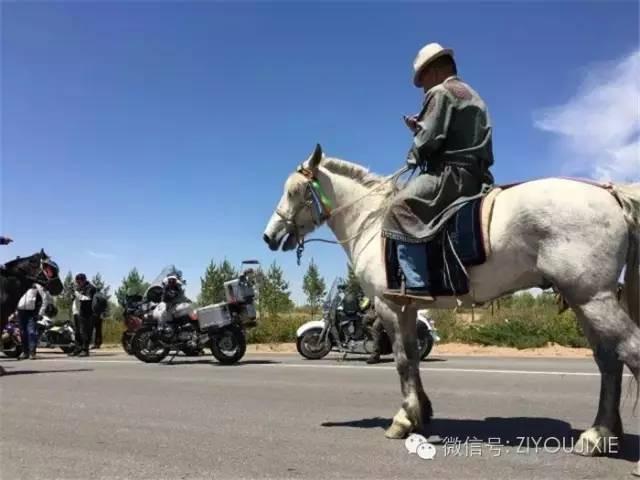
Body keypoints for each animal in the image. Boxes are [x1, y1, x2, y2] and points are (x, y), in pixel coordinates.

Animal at [262, 143, 640, 458]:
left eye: (294, 191)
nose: (269, 236)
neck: (371, 221)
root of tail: (609, 194)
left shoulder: (390, 307)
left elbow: (402, 361)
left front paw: (403, 420)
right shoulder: (408, 309)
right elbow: (414, 359)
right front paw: (422, 413)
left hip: (592, 298)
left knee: (629, 351)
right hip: (583, 301)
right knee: (609, 360)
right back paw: (599, 435)